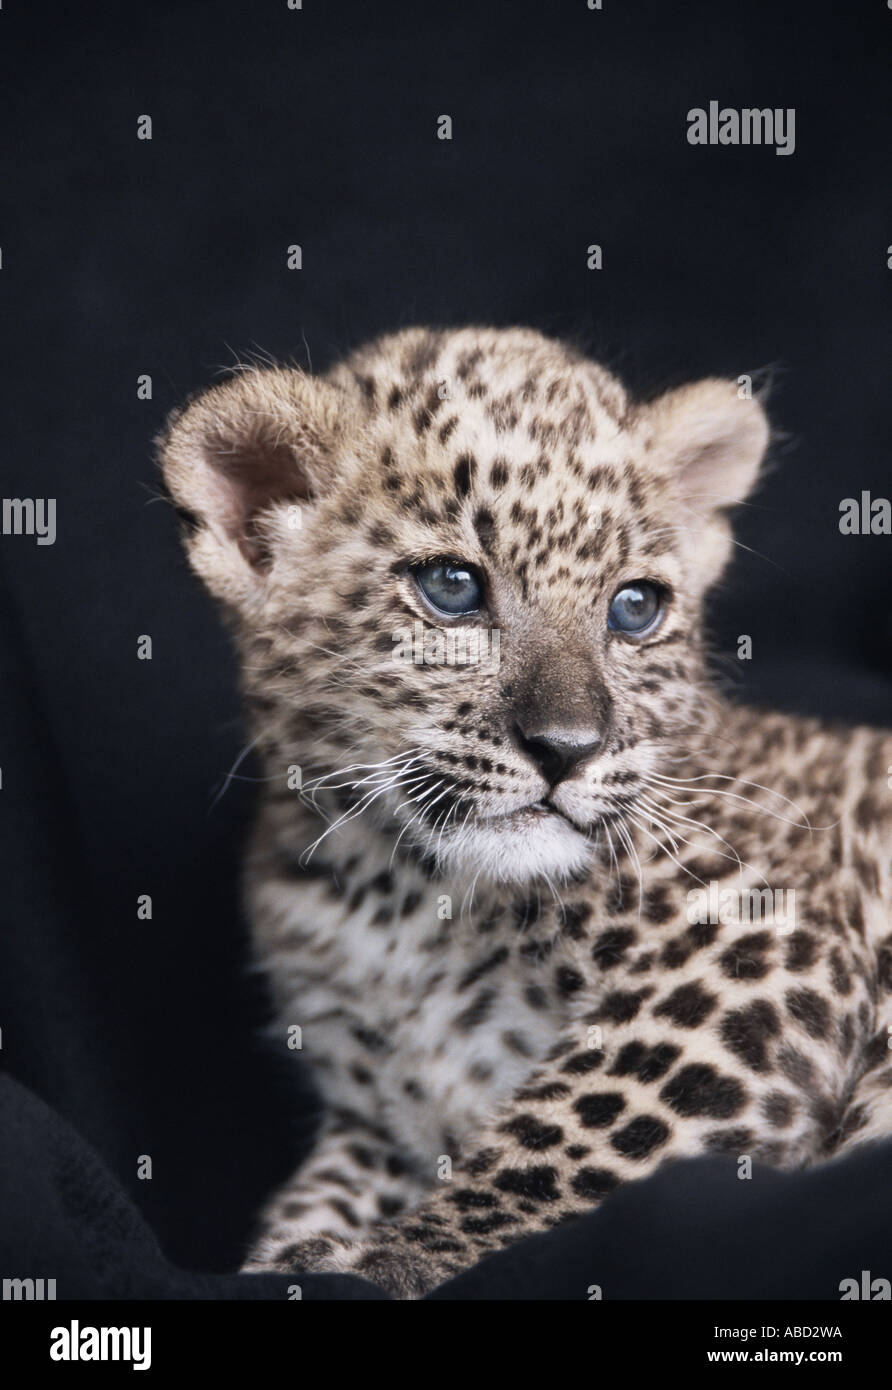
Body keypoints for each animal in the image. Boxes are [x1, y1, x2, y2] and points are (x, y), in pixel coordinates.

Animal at [159, 325, 892, 1298]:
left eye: (634, 607)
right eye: (452, 588)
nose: (568, 746)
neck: (399, 893)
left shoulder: (762, 950)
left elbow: (564, 1139)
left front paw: (383, 1260)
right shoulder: (373, 1115)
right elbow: (319, 1193)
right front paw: (294, 1252)